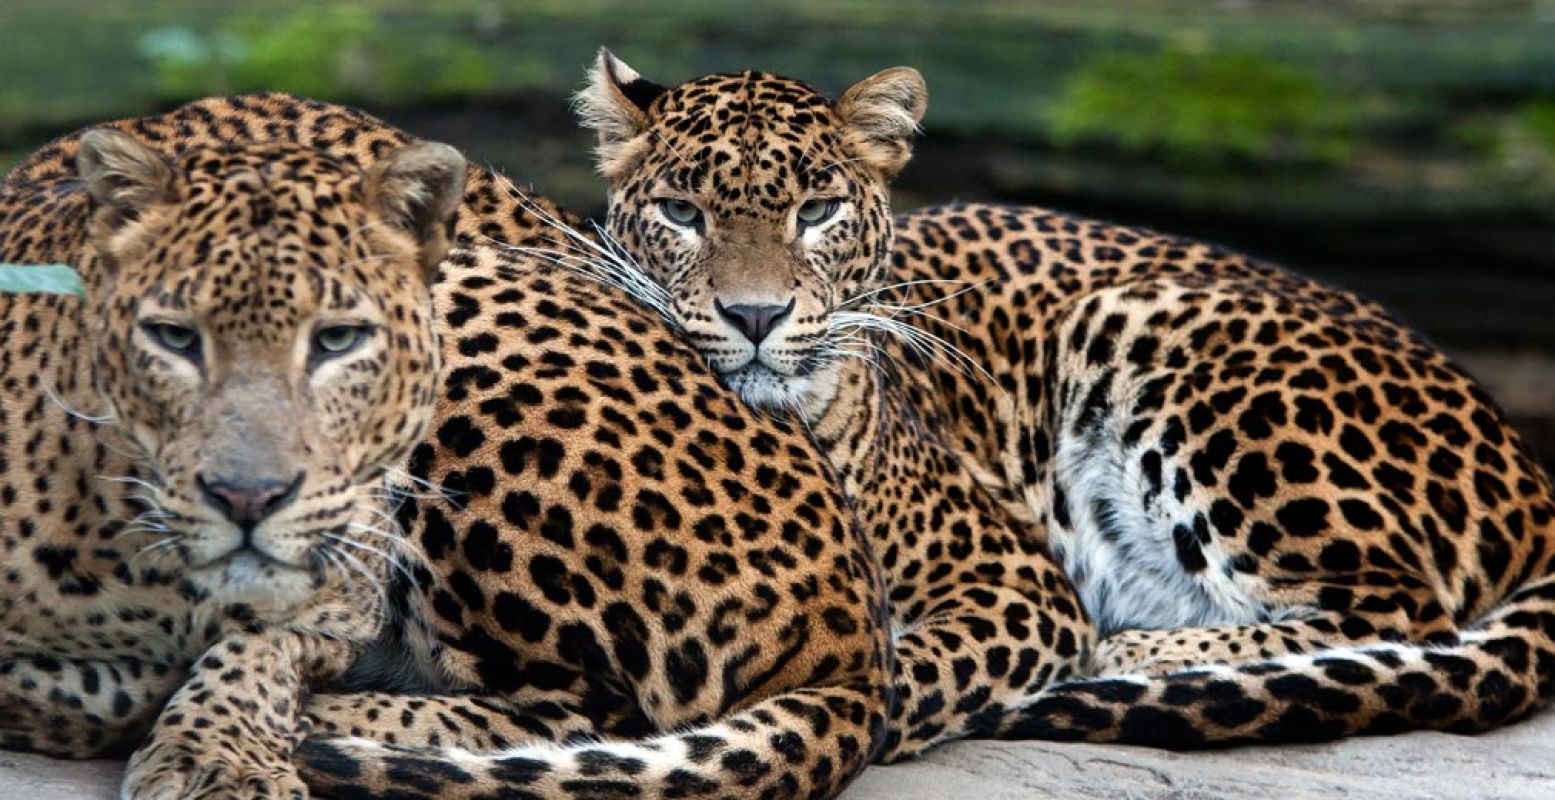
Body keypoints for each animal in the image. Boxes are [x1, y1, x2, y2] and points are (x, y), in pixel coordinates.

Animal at [3, 94, 901, 796]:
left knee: (586, 717)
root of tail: (858, 638)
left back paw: (324, 723)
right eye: (173, 339)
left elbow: (248, 650)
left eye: (339, 343)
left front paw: (211, 750)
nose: (251, 496)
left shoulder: (345, 568)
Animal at [569, 49, 1555, 753]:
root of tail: (1530, 474)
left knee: (1404, 610)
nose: (755, 314)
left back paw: (1133, 652)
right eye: (681, 212)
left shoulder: (1017, 586)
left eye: (816, 213)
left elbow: (893, 677)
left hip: (1152, 327)